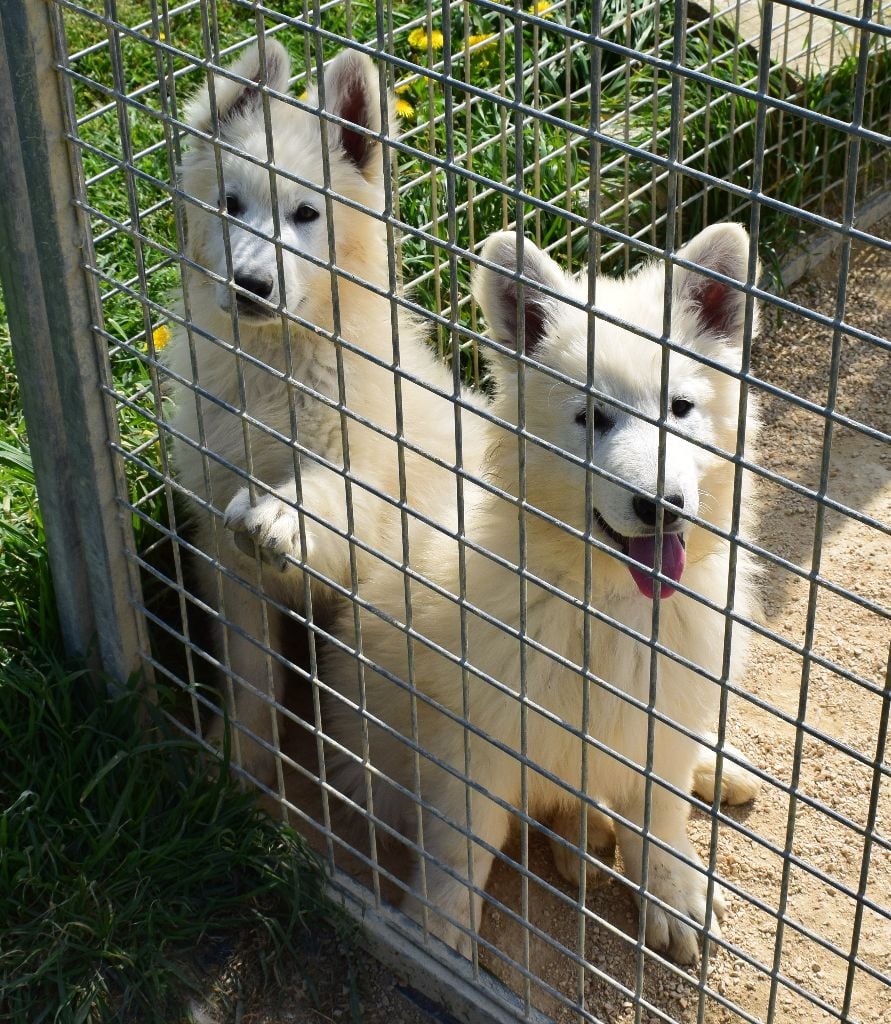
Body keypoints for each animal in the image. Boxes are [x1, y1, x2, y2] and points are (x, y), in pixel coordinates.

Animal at [321, 222, 766, 958]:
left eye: (680, 408)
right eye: (592, 418)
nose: (661, 507)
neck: (600, 598)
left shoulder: (656, 723)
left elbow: (660, 821)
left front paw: (672, 896)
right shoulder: (477, 738)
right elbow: (462, 846)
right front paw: (438, 931)